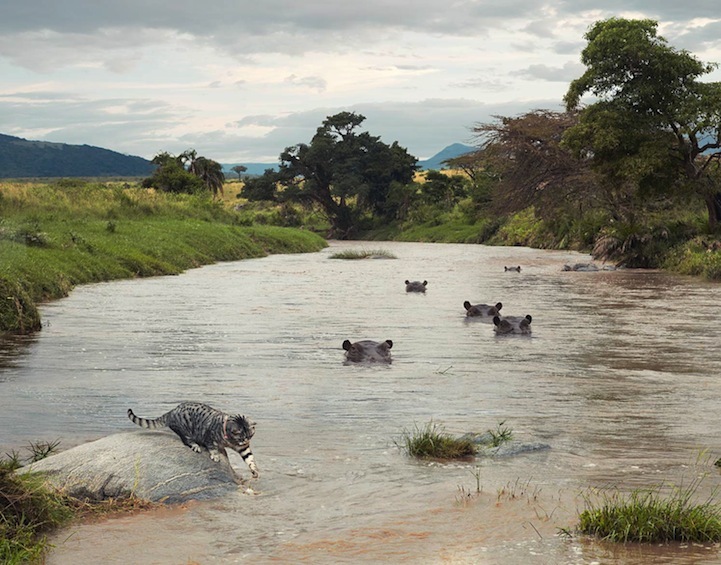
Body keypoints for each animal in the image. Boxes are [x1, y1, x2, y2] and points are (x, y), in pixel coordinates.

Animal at [127, 398, 258, 478]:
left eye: (249, 436)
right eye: (241, 437)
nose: (246, 441)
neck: (229, 440)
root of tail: (171, 411)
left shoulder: (244, 448)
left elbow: (249, 458)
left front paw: (254, 470)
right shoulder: (209, 437)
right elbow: (212, 447)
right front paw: (215, 455)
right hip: (185, 429)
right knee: (186, 440)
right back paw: (195, 446)